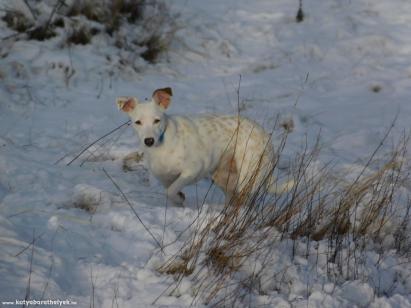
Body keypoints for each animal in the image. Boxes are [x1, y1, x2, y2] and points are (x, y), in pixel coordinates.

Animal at [116, 88, 292, 206]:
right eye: (138, 122)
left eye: (157, 120)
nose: (149, 141)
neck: (163, 144)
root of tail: (265, 137)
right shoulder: (163, 177)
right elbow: (170, 190)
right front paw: (179, 199)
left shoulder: (193, 170)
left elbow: (171, 190)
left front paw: (179, 196)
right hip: (223, 177)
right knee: (231, 199)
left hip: (248, 175)